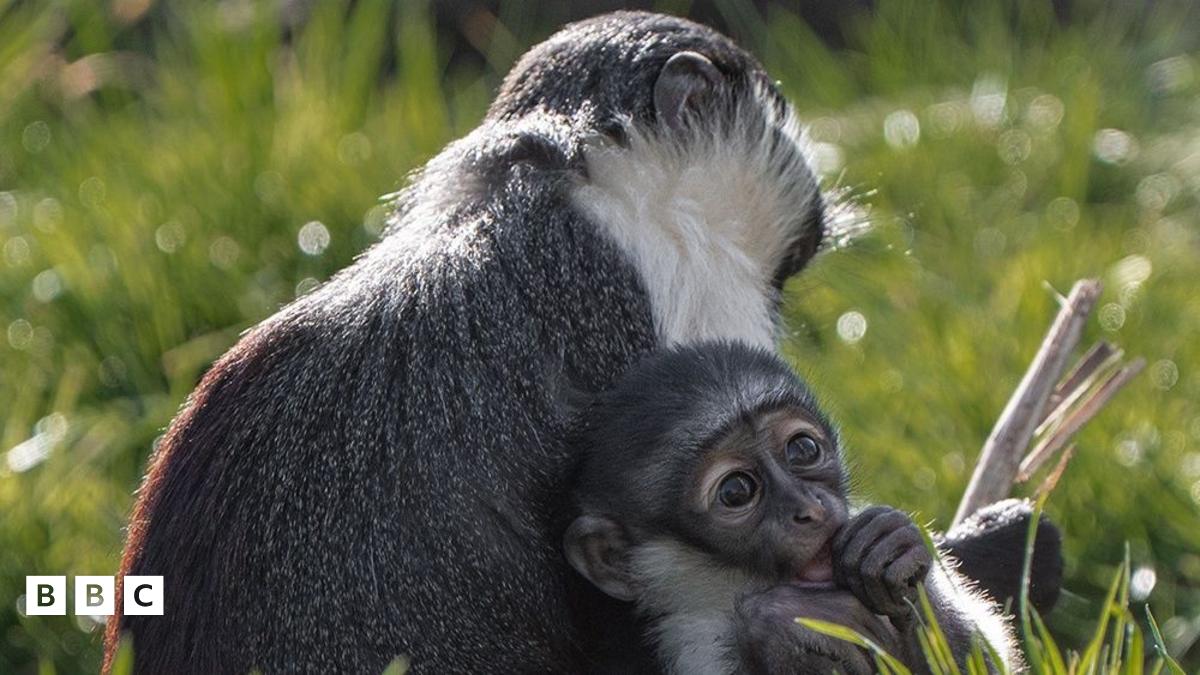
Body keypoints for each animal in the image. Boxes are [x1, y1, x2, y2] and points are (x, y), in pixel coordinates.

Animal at [563, 341, 1020, 674]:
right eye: (735, 492)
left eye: (802, 449)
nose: (809, 509)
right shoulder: (695, 644)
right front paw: (782, 620)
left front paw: (891, 547)